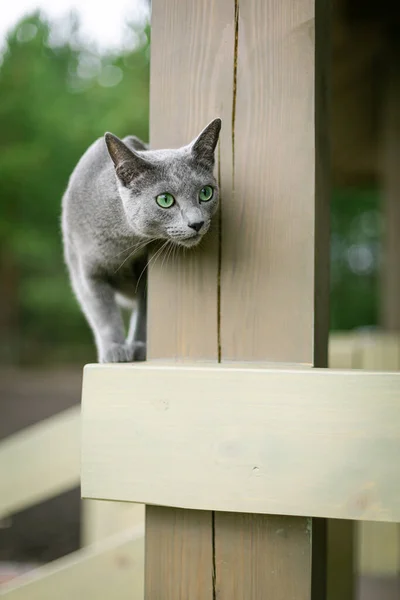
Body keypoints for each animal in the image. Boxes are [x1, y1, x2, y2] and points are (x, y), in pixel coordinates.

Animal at [61, 117, 222, 360]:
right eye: (165, 200)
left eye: (205, 193)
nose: (197, 223)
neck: (121, 244)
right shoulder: (85, 272)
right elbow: (103, 314)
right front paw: (115, 350)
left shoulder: (145, 275)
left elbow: (144, 315)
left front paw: (138, 348)